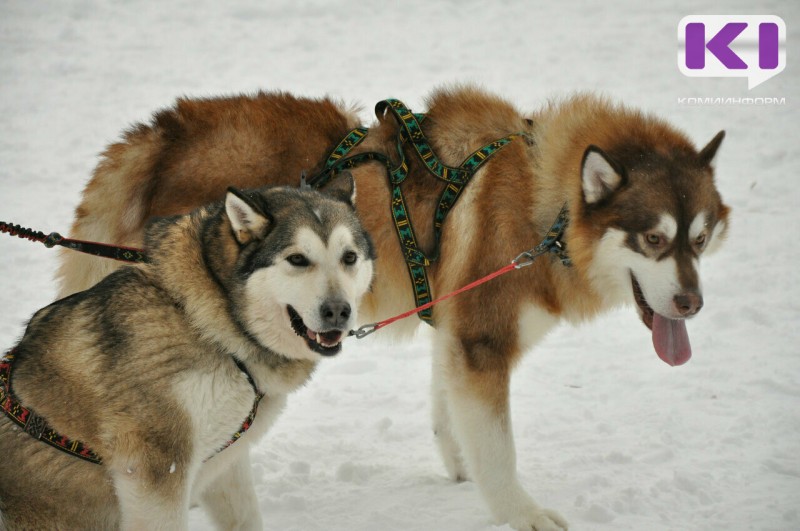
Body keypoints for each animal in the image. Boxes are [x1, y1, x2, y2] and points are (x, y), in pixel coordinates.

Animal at [53, 85, 728, 528]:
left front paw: (460, 472)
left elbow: (452, 416)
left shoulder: (454, 330)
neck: (548, 204)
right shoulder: (482, 343)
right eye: (654, 239)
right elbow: (500, 450)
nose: (692, 303)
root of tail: (157, 136)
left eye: (699, 239)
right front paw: (522, 513)